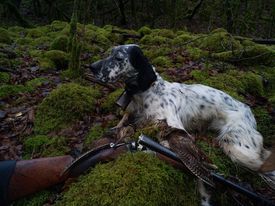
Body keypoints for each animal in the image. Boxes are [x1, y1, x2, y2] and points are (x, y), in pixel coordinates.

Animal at [89, 44, 274, 205]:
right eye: (110, 52)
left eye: (119, 57)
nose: (92, 67)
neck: (145, 92)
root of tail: (248, 111)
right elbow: (124, 122)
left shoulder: (172, 126)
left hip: (237, 146)